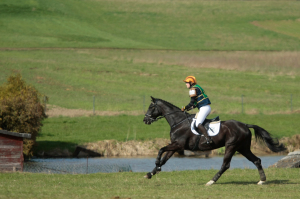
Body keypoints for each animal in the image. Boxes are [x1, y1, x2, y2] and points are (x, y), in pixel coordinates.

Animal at [143, 97, 286, 186]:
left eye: (151, 107)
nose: (145, 120)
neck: (178, 121)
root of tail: (245, 125)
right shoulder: (175, 146)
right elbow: (165, 159)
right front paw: (150, 173)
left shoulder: (178, 145)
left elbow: (160, 150)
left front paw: (156, 165)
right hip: (243, 148)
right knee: (256, 160)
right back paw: (262, 180)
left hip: (231, 146)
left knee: (225, 165)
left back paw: (211, 181)